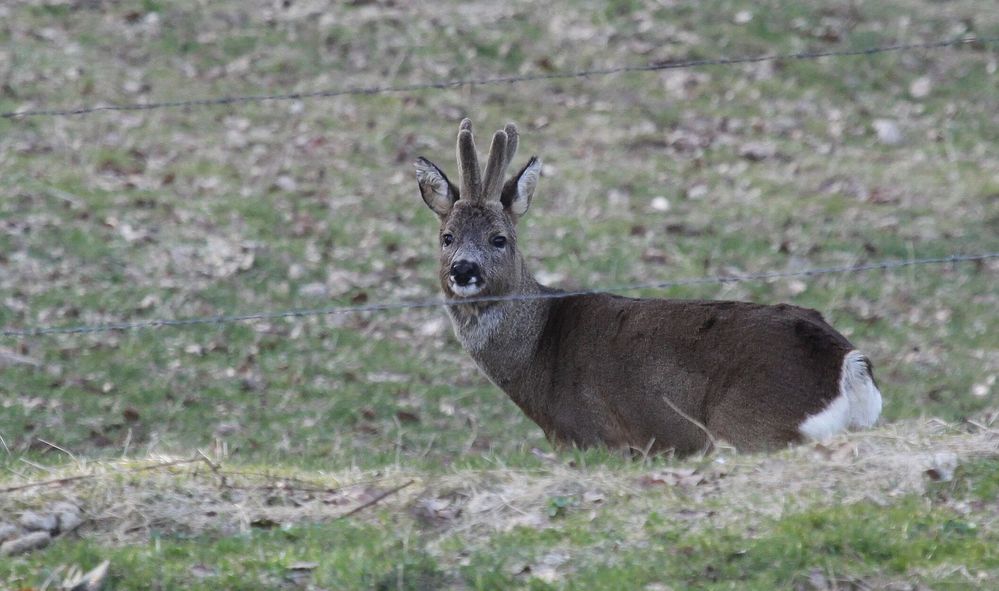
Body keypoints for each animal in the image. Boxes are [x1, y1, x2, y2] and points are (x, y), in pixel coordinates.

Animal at [414, 118, 884, 456]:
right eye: (447, 237)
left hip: (756, 426)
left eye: (499, 239)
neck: (539, 350)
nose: (463, 270)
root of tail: (849, 364)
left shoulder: (595, 437)